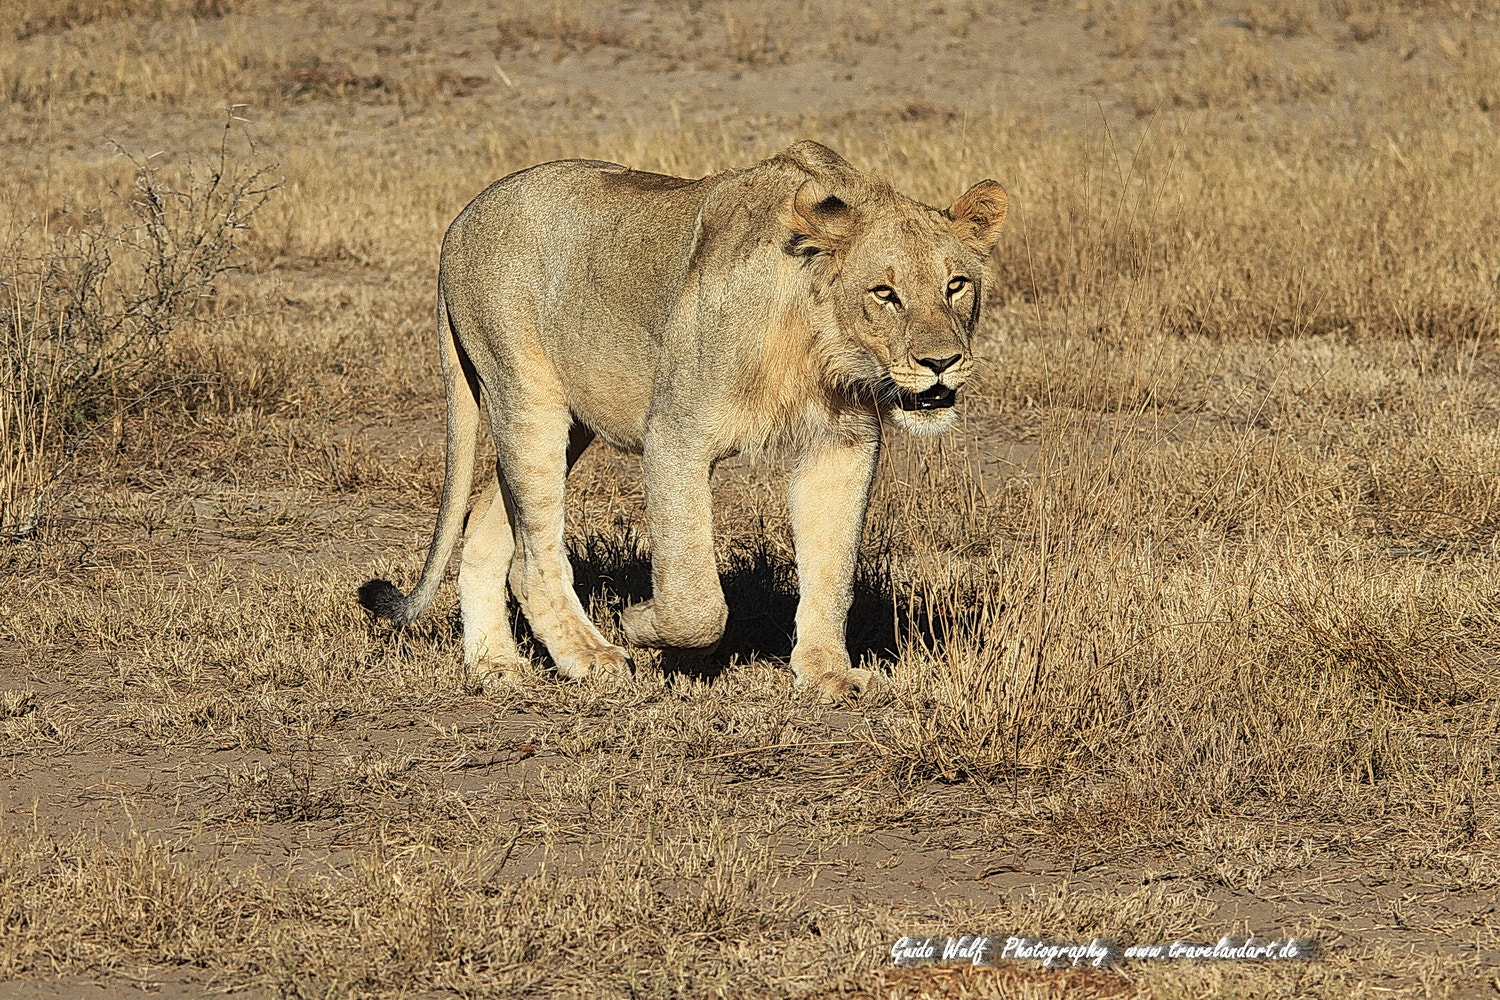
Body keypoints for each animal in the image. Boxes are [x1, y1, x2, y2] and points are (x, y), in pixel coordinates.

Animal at [355, 138, 1008, 704]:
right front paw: (642, 625)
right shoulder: (675, 434)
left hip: (569, 423)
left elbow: (832, 568)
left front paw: (827, 673)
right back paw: (594, 657)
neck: (817, 339)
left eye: (956, 285)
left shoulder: (842, 444)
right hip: (527, 398)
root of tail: (461, 219)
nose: (941, 362)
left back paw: (495, 663)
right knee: (532, 558)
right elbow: (697, 602)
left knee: (485, 528)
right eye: (884, 293)